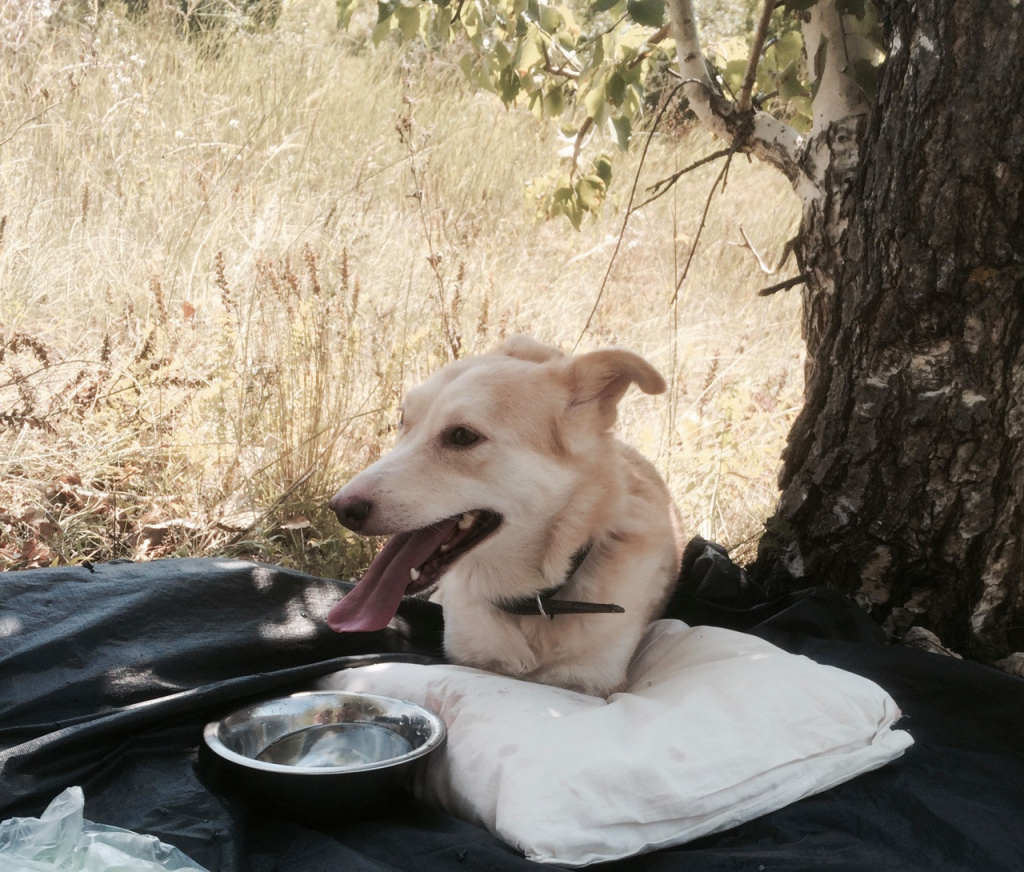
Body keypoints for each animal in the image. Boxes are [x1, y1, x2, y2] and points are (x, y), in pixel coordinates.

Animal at [323, 333, 684, 695]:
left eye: (463, 436)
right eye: (403, 421)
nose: (341, 509)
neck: (530, 604)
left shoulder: (593, 684)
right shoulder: (468, 658)